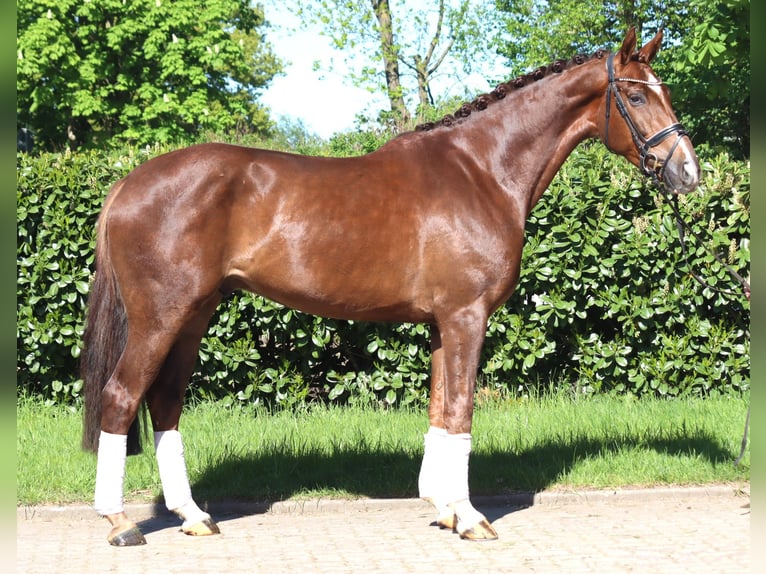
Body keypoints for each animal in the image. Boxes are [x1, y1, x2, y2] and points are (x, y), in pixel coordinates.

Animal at [80, 27, 698, 546]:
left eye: (665, 90)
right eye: (636, 97)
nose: (688, 172)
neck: (482, 171)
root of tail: (128, 184)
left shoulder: (443, 324)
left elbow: (440, 410)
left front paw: (443, 508)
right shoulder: (466, 316)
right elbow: (462, 410)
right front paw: (470, 518)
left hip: (194, 316)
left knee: (164, 403)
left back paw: (193, 516)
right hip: (161, 317)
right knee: (121, 396)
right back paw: (119, 522)